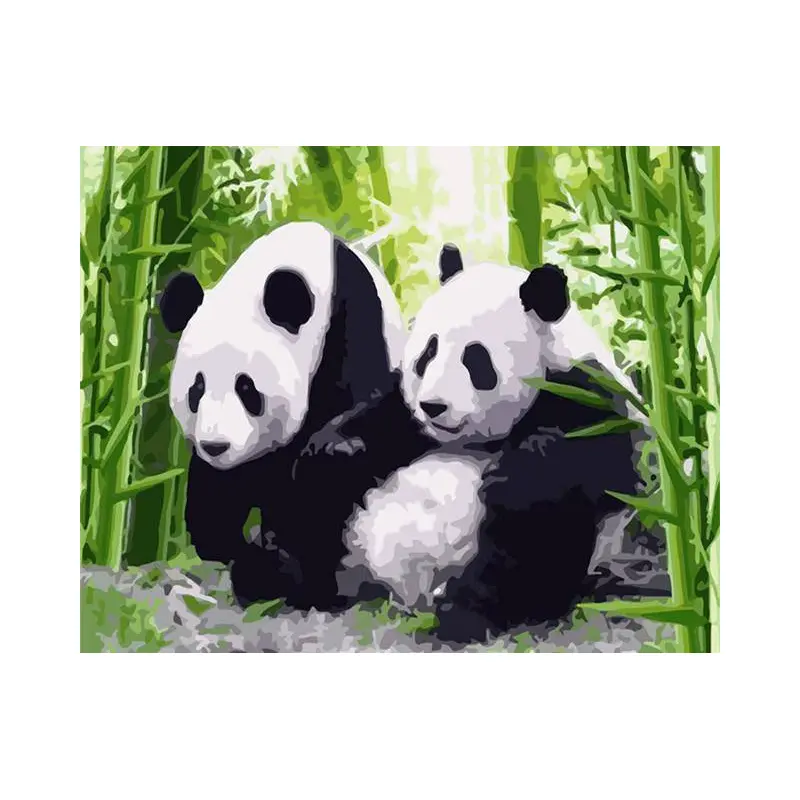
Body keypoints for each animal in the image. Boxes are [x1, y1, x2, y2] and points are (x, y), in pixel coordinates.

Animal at [159, 220, 406, 611]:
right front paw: (228, 545)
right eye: (196, 389)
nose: (216, 446)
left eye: (247, 389)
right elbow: (220, 489)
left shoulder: (353, 324)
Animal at [301, 244, 644, 642]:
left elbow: (591, 465)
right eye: (427, 354)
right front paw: (338, 447)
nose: (433, 406)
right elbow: (376, 419)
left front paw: (519, 474)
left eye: (475, 359)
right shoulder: (404, 415)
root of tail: (402, 593)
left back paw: (464, 613)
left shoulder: (585, 391)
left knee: (530, 544)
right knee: (315, 510)